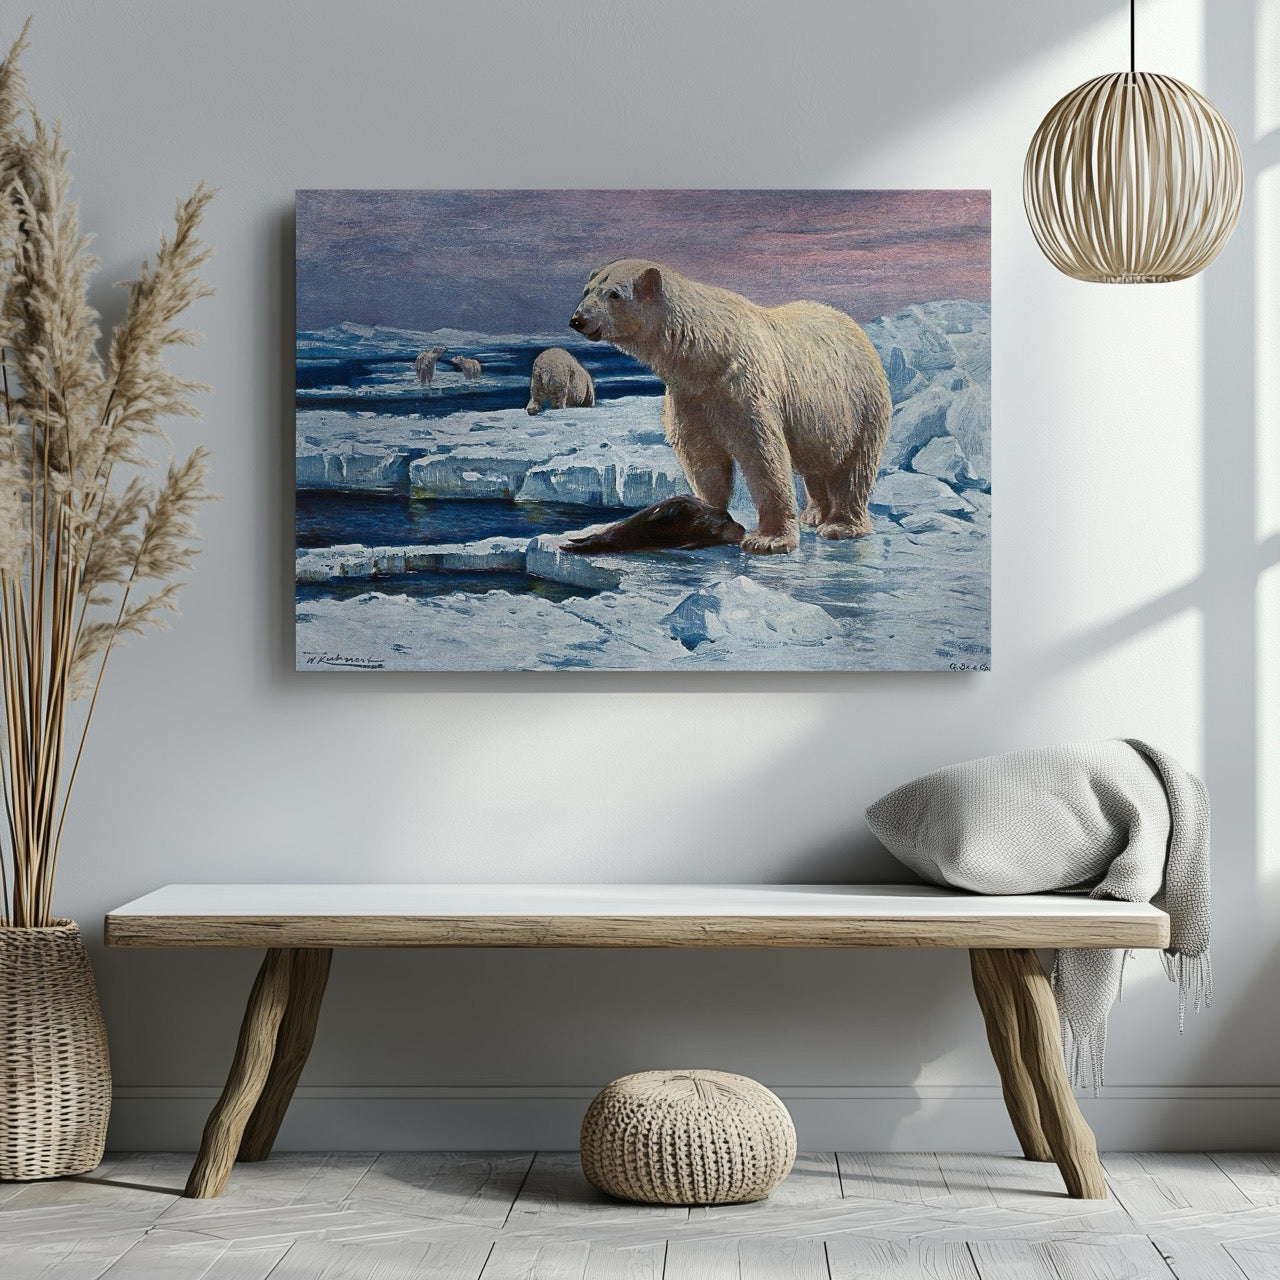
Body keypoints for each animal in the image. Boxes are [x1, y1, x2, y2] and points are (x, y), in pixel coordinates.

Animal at [570, 259, 892, 554]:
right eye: (587, 290)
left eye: (614, 294)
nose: (578, 319)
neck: (705, 353)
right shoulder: (690, 396)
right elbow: (702, 456)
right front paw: (706, 514)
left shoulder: (744, 387)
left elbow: (762, 454)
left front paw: (768, 539)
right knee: (816, 462)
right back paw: (813, 514)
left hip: (860, 403)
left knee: (854, 466)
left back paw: (841, 526)